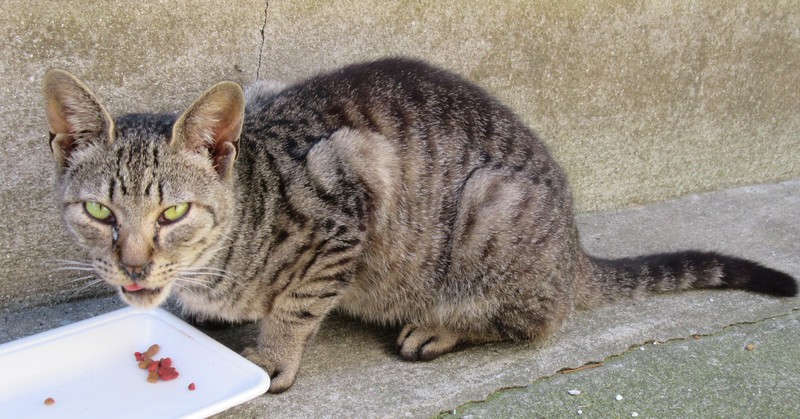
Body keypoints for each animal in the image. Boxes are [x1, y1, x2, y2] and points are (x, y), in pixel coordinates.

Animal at [43, 58, 797, 393]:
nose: (135, 266)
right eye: (100, 211)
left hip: (492, 208)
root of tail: (576, 247)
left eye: (172, 212)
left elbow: (295, 306)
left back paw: (439, 327)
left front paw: (273, 357)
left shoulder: (347, 203)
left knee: (537, 319)